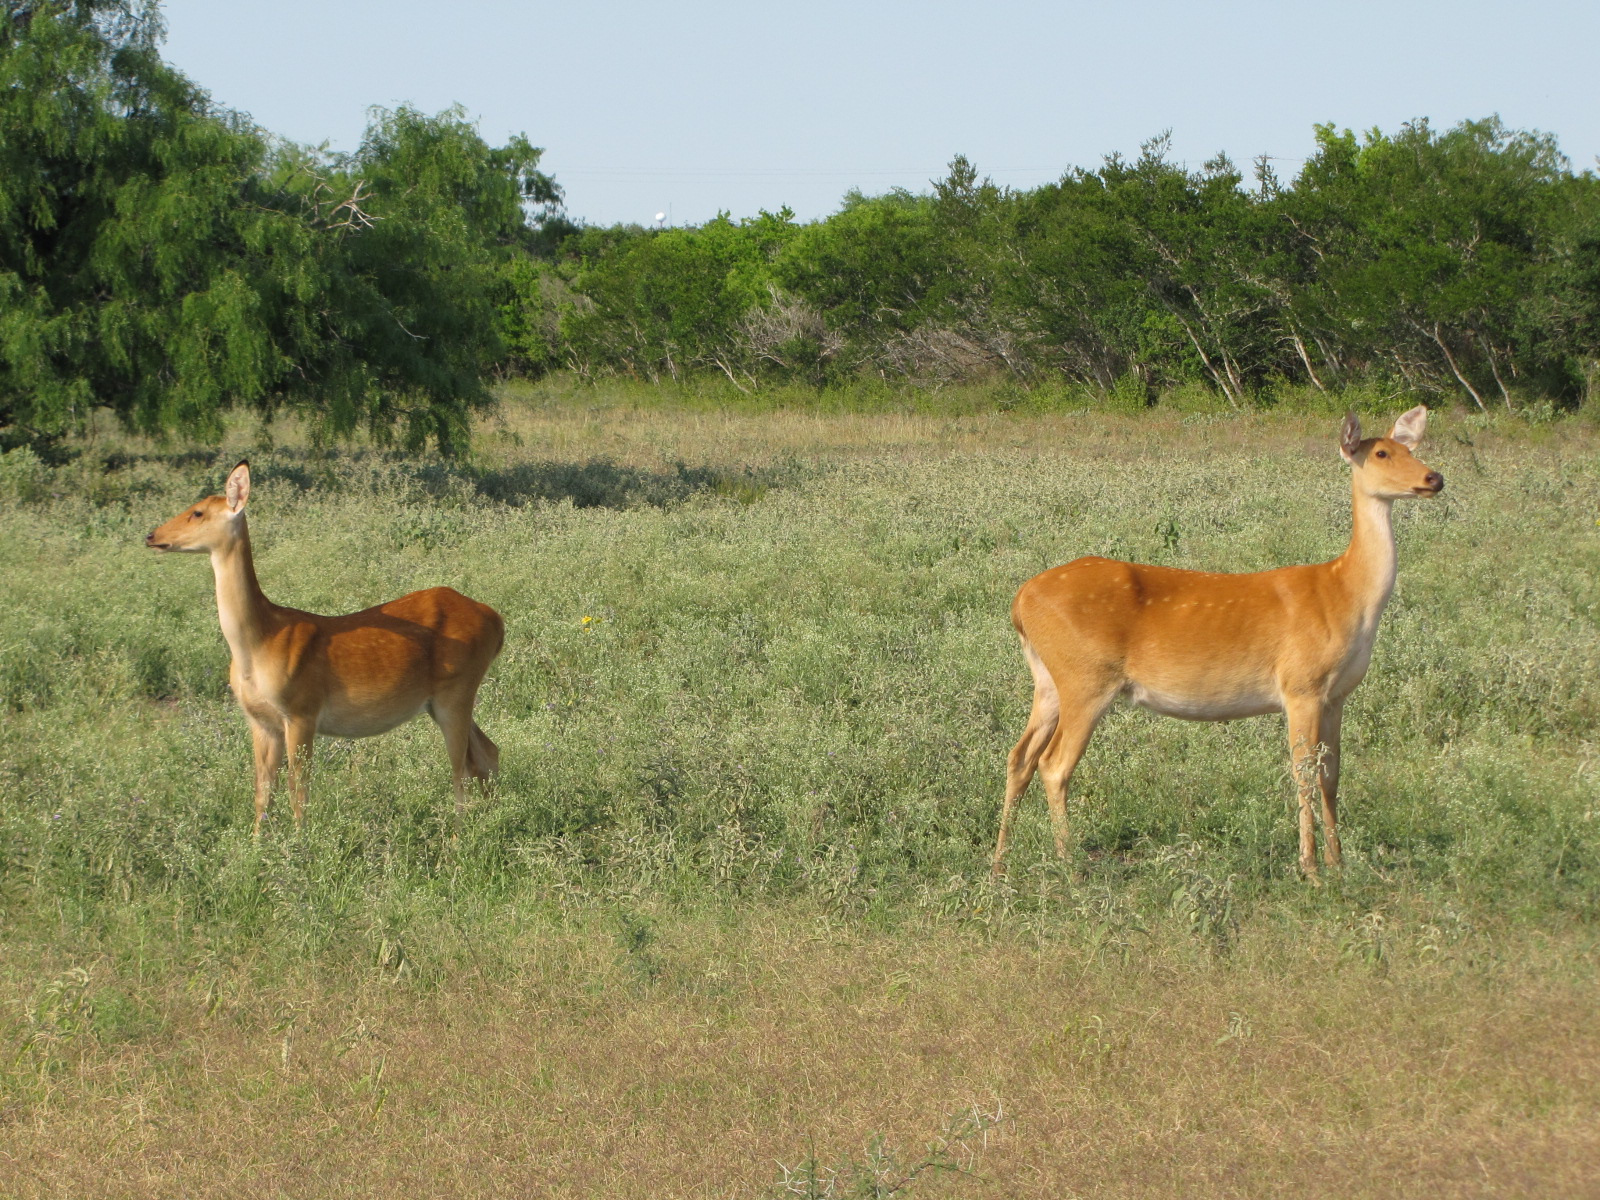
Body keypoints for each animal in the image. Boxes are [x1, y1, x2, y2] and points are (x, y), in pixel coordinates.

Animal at [148, 460, 505, 838]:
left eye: (197, 512)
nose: (152, 536)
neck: (259, 642)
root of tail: (496, 620)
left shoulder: (302, 710)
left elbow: (299, 789)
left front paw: (301, 844)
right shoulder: (261, 720)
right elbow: (263, 790)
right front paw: (257, 845)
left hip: (457, 689)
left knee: (461, 767)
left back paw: (458, 837)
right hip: (442, 700)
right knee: (486, 753)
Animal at [992, 409, 1446, 889]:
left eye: (1410, 449)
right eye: (1381, 453)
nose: (1434, 478)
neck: (1345, 593)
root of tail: (1019, 601)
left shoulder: (1337, 694)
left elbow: (1331, 775)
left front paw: (1338, 864)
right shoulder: (1301, 684)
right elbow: (1303, 773)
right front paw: (1311, 870)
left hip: (1048, 679)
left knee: (1020, 757)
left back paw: (1000, 864)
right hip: (1086, 677)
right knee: (1055, 764)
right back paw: (1070, 868)